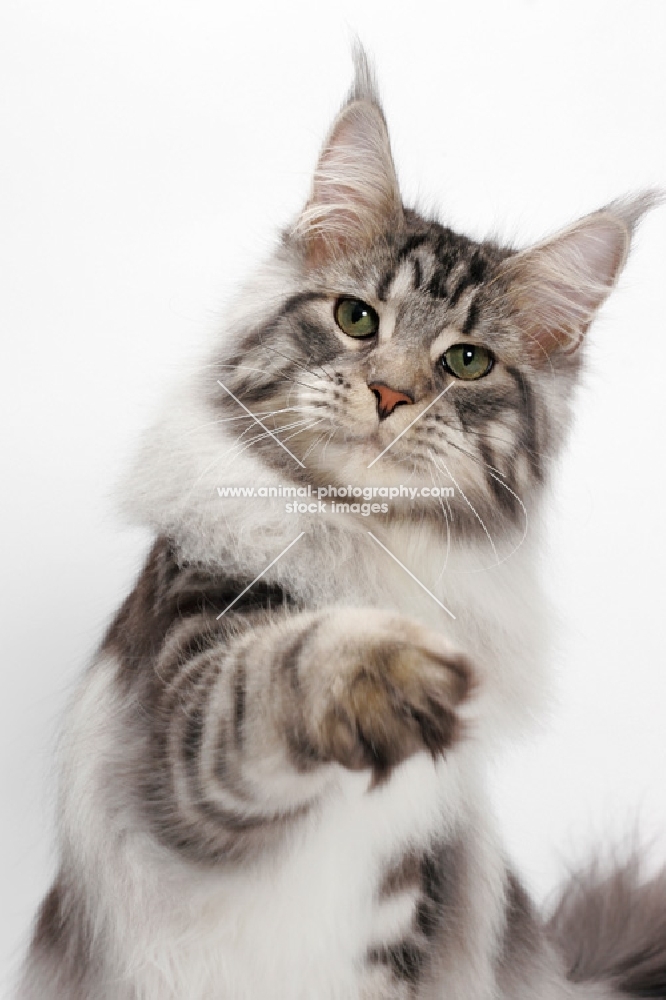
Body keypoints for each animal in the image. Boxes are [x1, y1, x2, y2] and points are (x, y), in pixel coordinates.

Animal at [16, 45, 664, 1000]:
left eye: (466, 362)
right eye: (357, 318)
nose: (391, 392)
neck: (374, 543)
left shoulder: (404, 902)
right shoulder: (187, 713)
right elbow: (275, 671)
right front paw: (384, 669)